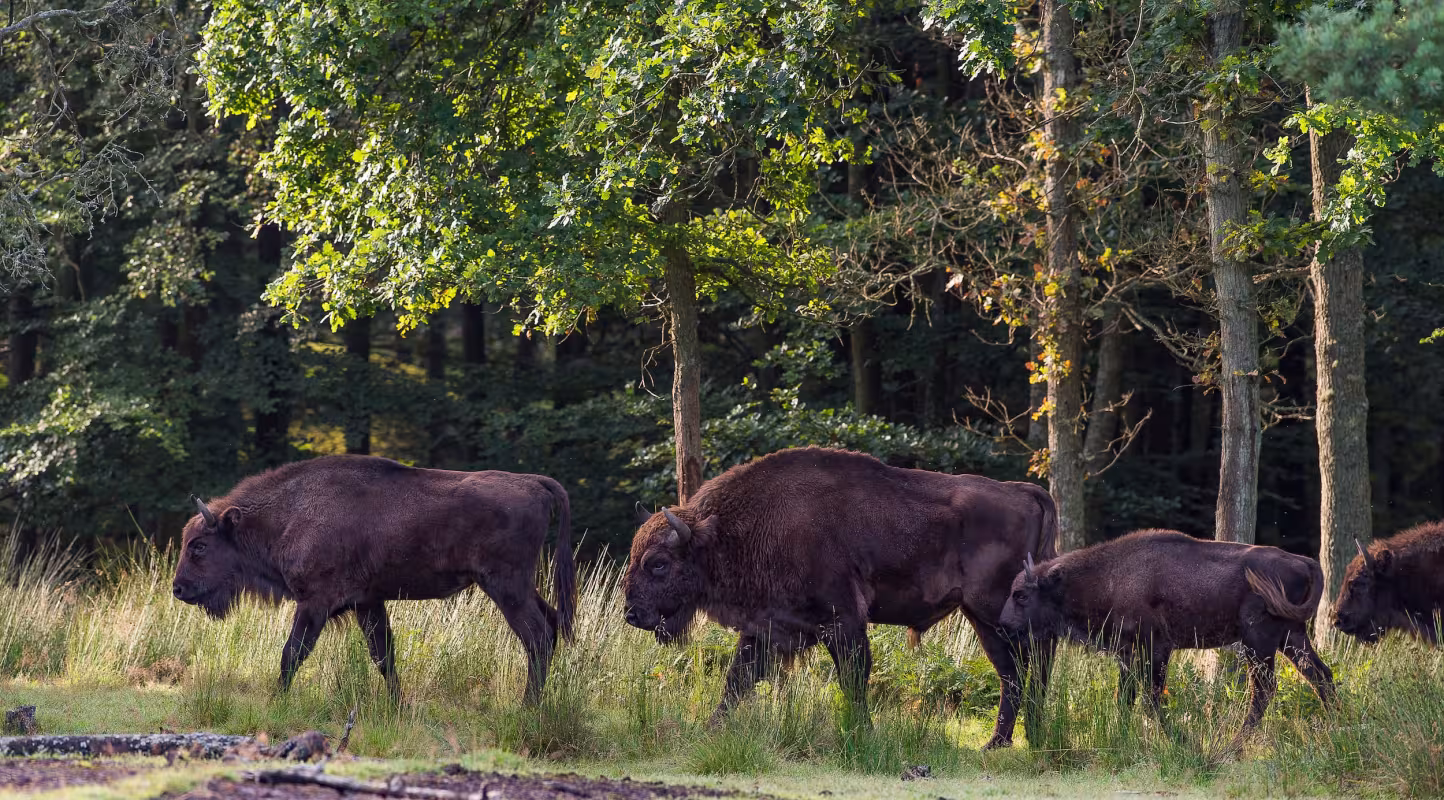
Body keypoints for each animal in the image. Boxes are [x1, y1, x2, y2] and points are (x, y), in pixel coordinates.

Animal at [172, 455, 575, 704]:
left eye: (199, 545)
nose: (179, 588)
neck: (290, 514)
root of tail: (534, 484)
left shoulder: (315, 603)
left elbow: (292, 653)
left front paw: (276, 702)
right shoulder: (368, 603)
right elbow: (384, 657)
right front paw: (398, 708)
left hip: (506, 587)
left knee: (538, 636)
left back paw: (527, 708)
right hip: (519, 586)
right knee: (552, 624)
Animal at [622, 446, 1058, 749]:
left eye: (658, 563)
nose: (632, 614)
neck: (727, 532)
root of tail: (1024, 492)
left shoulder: (842, 620)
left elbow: (854, 676)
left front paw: (863, 732)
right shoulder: (765, 627)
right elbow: (738, 679)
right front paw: (710, 730)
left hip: (997, 612)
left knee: (1031, 666)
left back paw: (1025, 736)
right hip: (983, 618)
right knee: (1013, 673)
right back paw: (1001, 742)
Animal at [999, 529, 1337, 748]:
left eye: (1021, 594)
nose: (1003, 625)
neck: (1111, 576)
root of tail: (1304, 561)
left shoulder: (1158, 648)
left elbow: (1151, 699)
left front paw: (1184, 742)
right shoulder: (1128, 653)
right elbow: (1125, 698)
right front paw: (1122, 739)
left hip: (1259, 642)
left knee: (1264, 690)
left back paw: (1233, 748)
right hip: (1291, 637)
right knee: (1320, 676)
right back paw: (1338, 728)